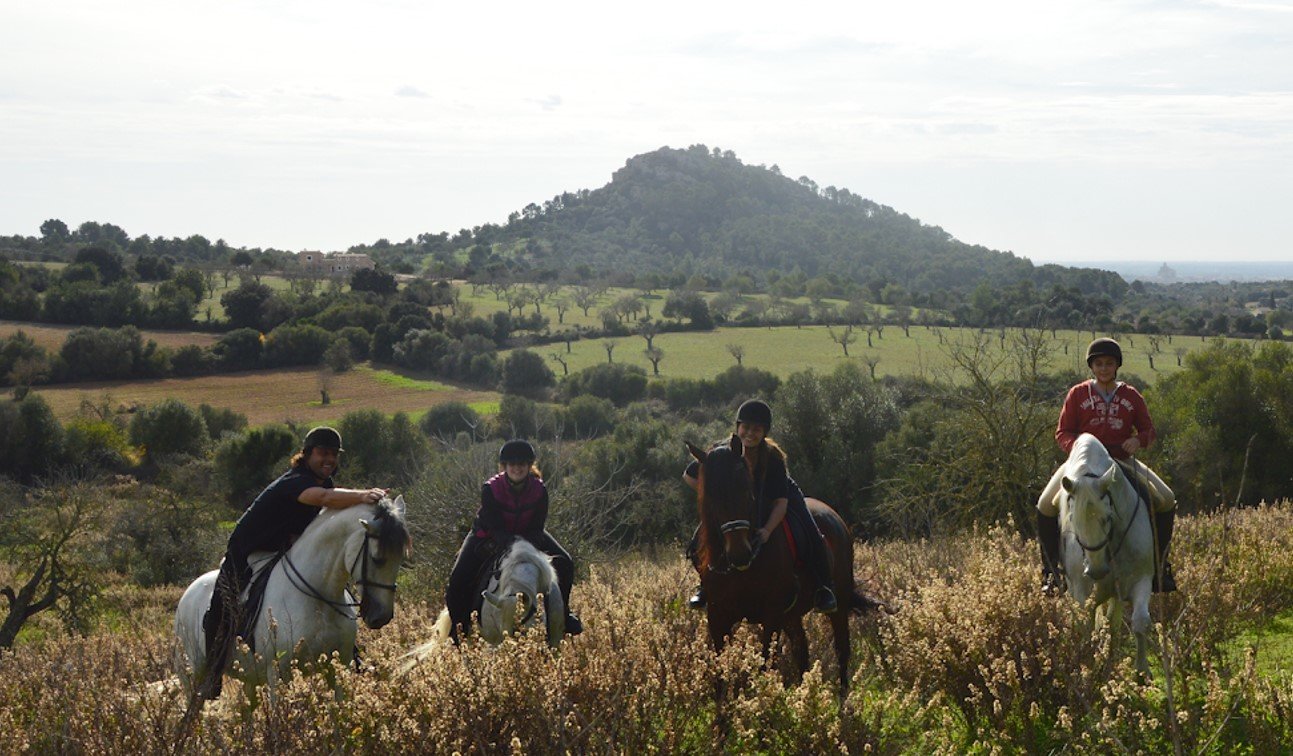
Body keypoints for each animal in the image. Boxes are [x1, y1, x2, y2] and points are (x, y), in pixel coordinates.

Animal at [686, 437, 884, 696]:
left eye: (747, 492)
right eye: (710, 497)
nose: (740, 554)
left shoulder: (771, 616)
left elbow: (764, 667)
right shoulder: (718, 616)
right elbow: (719, 674)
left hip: (838, 603)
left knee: (842, 649)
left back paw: (843, 701)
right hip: (792, 614)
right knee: (802, 651)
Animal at [1049, 433, 1155, 675]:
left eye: (1108, 517)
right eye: (1073, 521)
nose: (1096, 571)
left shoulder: (1141, 579)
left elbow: (1140, 622)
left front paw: (1142, 672)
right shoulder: (1081, 595)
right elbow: (1085, 629)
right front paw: (1086, 671)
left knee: (1112, 623)